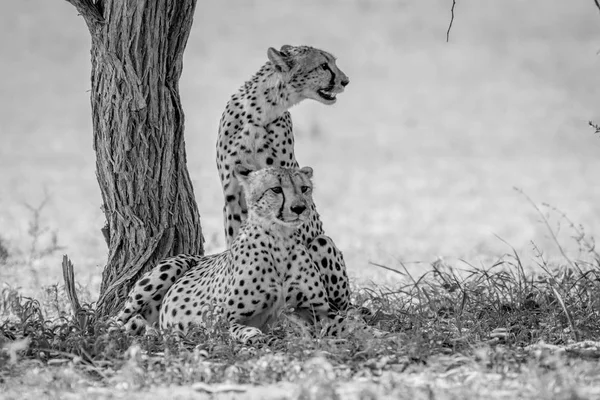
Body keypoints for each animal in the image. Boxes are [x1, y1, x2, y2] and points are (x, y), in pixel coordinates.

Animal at [115, 166, 350, 344]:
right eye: (276, 189)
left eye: (304, 188)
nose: (300, 207)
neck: (281, 240)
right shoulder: (217, 318)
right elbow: (240, 327)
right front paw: (255, 336)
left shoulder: (320, 311)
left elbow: (344, 322)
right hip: (168, 268)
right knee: (116, 322)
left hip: (322, 241)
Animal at [217, 45, 352, 314]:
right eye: (323, 65)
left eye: (333, 62)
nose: (345, 81)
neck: (261, 112)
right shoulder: (232, 195)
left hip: (322, 244)